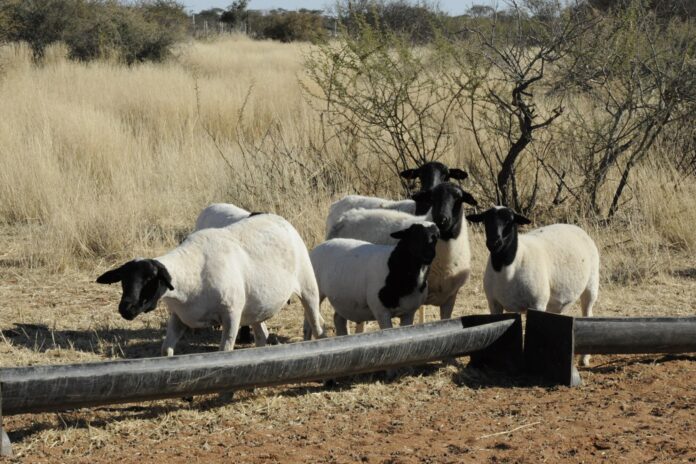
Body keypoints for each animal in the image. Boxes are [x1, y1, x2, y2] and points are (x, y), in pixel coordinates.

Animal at [96, 213, 325, 356]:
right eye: (124, 281)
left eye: (149, 279)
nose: (126, 309)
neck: (191, 273)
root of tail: (279, 218)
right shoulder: (178, 317)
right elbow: (166, 350)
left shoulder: (231, 314)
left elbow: (224, 351)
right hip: (257, 306)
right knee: (261, 335)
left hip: (308, 286)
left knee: (316, 325)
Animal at [310, 223, 440, 334]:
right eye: (414, 236)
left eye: (436, 237)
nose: (429, 254)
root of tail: (322, 245)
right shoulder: (381, 312)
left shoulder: (409, 313)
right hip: (317, 291)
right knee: (309, 323)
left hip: (343, 299)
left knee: (338, 319)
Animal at [466, 206, 599, 366]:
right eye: (486, 220)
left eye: (509, 221)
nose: (494, 242)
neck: (508, 266)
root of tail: (575, 227)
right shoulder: (494, 303)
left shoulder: (537, 303)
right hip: (555, 301)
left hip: (591, 285)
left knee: (588, 314)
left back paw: (584, 358)